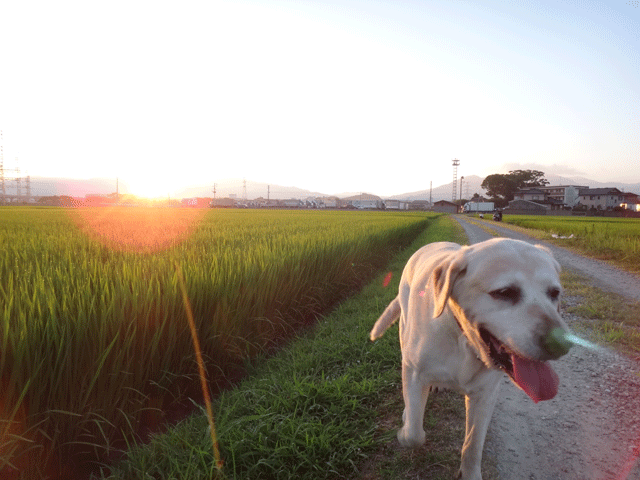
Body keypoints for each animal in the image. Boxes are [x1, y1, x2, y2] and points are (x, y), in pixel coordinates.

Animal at [370, 240, 568, 480]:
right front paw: (405, 427)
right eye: (505, 292)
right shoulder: (415, 373)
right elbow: (413, 435)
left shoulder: (485, 395)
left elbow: (473, 445)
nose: (561, 344)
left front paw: (470, 472)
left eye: (554, 293)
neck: (463, 338)